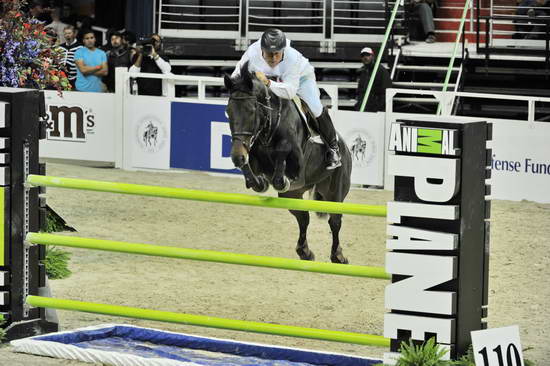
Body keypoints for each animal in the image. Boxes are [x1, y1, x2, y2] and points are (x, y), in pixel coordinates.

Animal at [224, 63, 354, 264]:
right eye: (229, 111)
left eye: (252, 111)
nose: (237, 156)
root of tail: (346, 148)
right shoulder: (250, 150)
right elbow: (251, 166)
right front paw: (258, 182)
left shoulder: (296, 159)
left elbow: (282, 155)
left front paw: (281, 179)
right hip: (293, 195)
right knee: (303, 218)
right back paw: (305, 251)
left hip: (335, 192)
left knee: (335, 220)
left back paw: (338, 256)